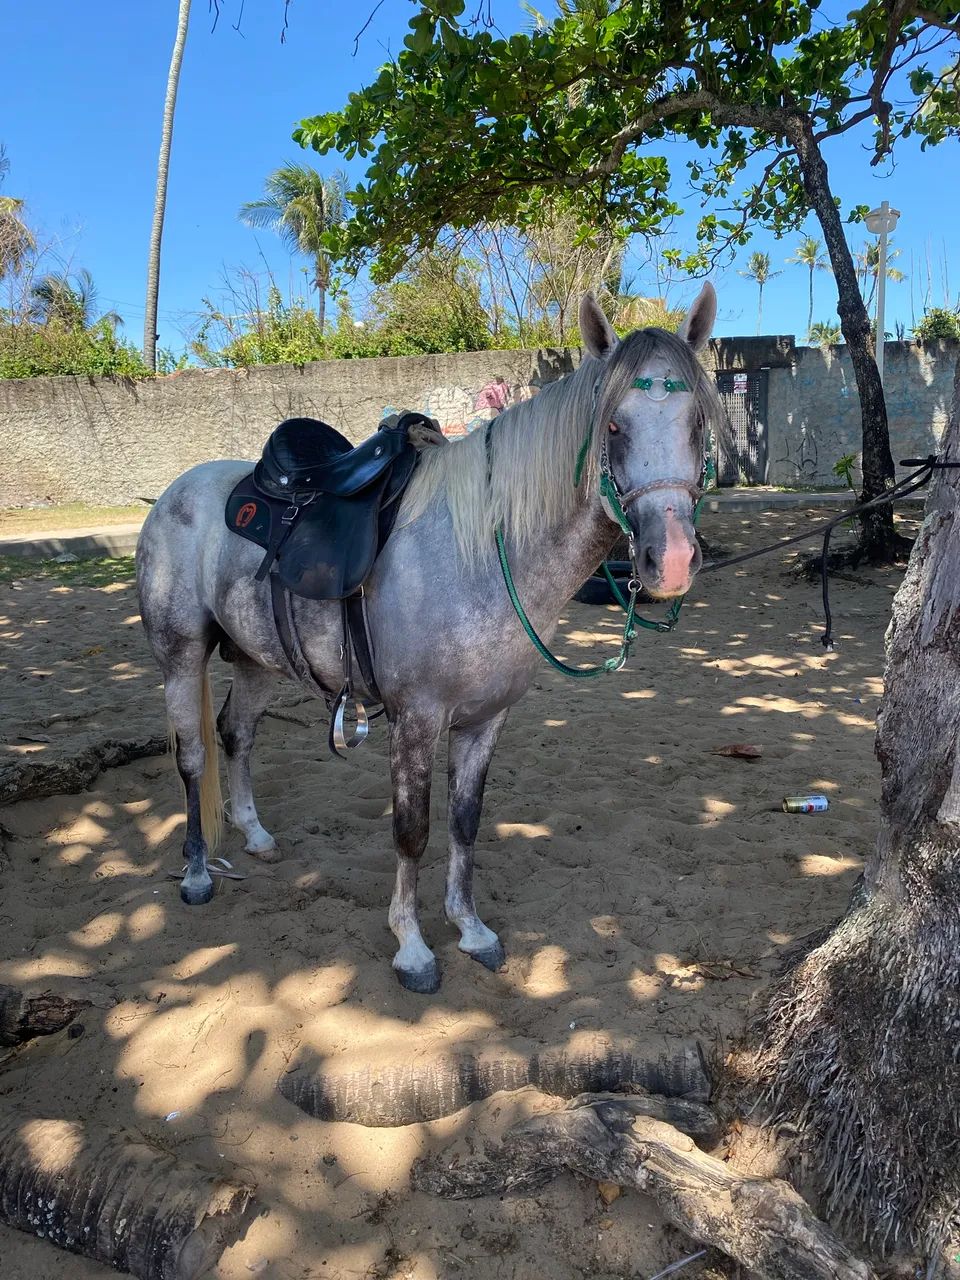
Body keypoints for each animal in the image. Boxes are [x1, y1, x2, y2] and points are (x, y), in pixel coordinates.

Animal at [135, 286, 722, 994]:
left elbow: (465, 821)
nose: (671, 560)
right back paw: (197, 873)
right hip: (180, 656)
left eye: (697, 423)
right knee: (194, 756)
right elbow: (411, 831)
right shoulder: (415, 719)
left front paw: (469, 928)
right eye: (613, 426)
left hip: (255, 659)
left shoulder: (485, 719)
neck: (484, 555)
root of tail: (176, 491)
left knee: (237, 733)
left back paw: (255, 835)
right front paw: (412, 946)